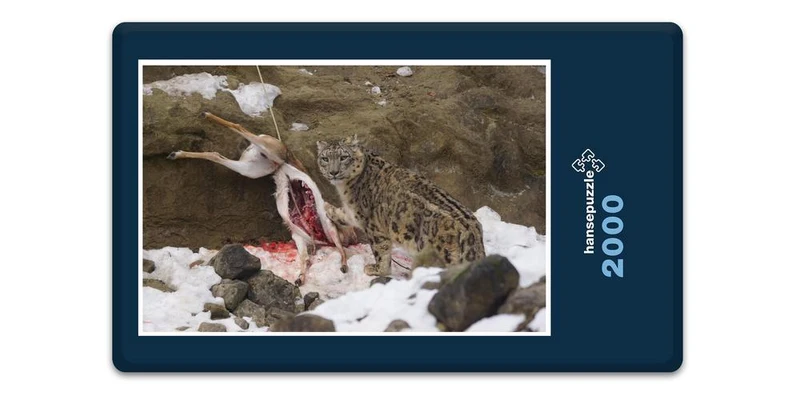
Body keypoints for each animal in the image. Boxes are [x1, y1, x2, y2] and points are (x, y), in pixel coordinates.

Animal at [316, 136, 485, 276]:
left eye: (343, 157)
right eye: (325, 158)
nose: (333, 172)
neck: (346, 187)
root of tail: (472, 231)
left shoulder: (373, 226)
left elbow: (381, 250)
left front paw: (377, 270)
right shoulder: (355, 213)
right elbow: (345, 215)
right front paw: (328, 209)